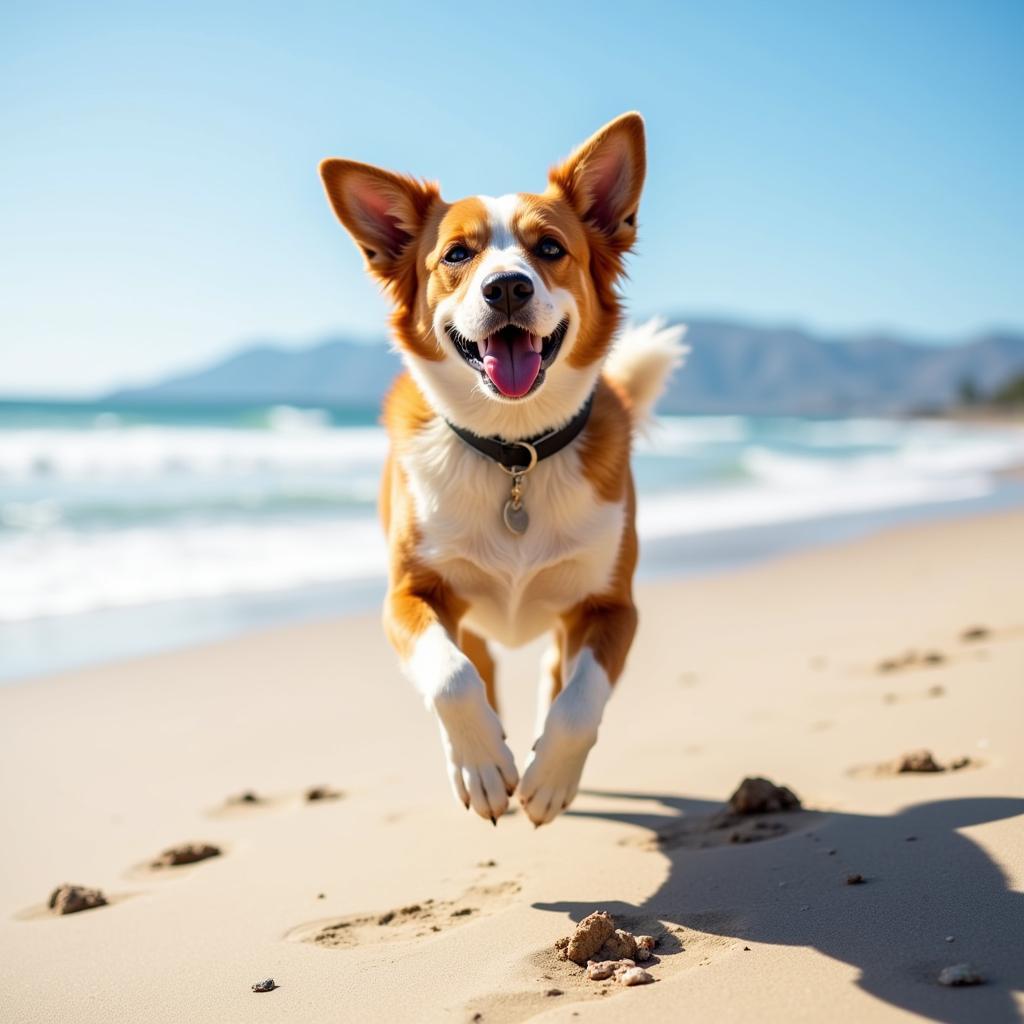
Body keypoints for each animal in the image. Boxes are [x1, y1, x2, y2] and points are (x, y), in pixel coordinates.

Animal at [319, 116, 684, 827]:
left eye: (549, 248)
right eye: (457, 256)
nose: (507, 286)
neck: (515, 450)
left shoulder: (612, 607)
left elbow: (579, 700)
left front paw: (549, 779)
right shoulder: (408, 595)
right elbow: (453, 677)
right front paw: (484, 766)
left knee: (555, 674)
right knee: (476, 665)